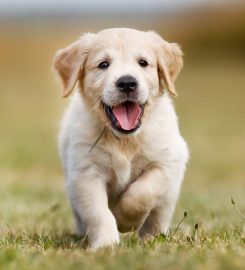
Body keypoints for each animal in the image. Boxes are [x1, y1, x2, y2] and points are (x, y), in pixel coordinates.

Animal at [52, 28, 189, 250]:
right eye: (103, 64)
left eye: (143, 62)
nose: (127, 83)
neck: (125, 140)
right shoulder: (86, 174)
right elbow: (99, 213)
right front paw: (106, 244)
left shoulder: (167, 161)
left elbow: (143, 192)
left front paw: (125, 220)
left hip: (170, 193)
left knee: (158, 215)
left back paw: (152, 237)